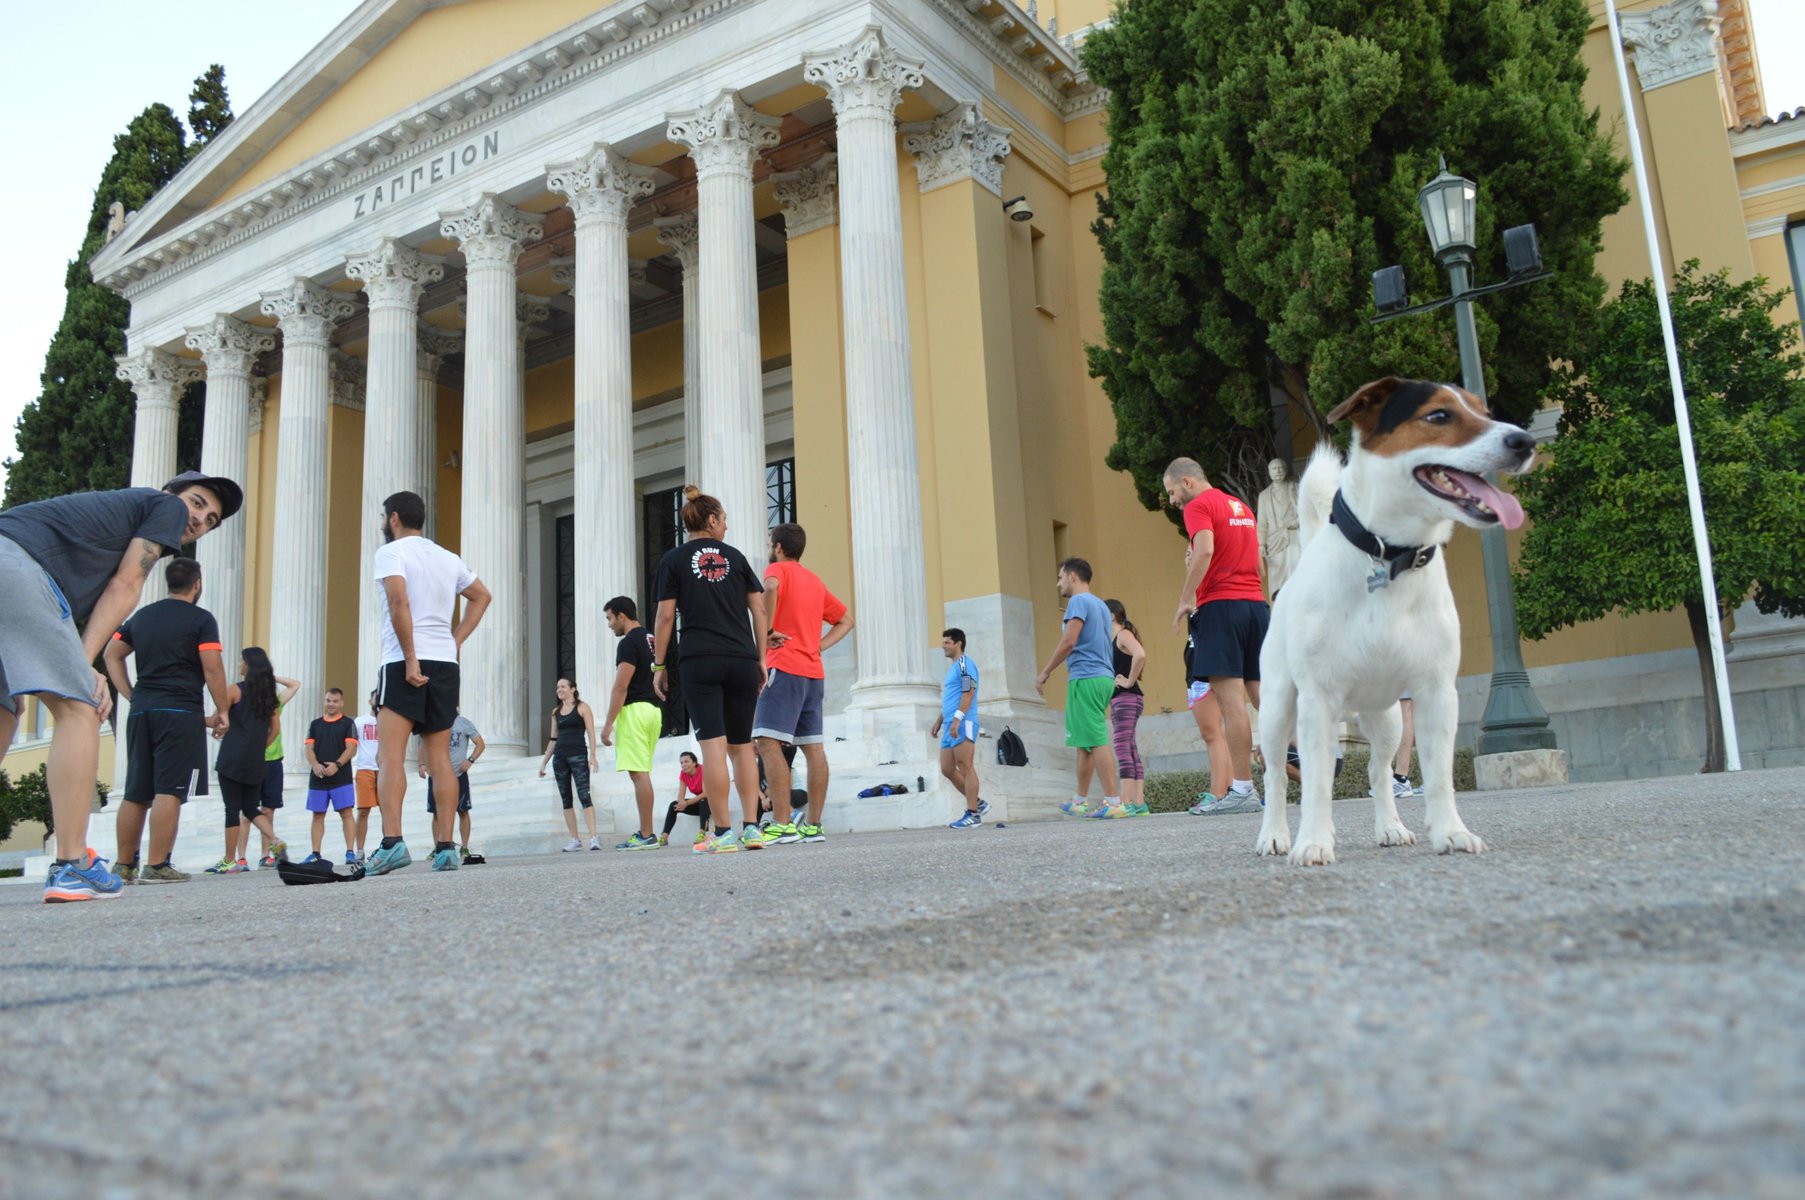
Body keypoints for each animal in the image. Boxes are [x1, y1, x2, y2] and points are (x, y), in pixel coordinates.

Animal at [1256, 375, 1537, 862]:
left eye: (1485, 411)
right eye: (1439, 415)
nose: (1525, 441)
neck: (1390, 555)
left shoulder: (1436, 693)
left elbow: (1439, 778)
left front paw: (1450, 832)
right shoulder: (1317, 700)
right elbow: (1314, 786)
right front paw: (1313, 841)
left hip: (1386, 719)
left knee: (1379, 770)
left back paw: (1390, 825)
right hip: (1277, 708)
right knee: (1276, 774)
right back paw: (1274, 835)